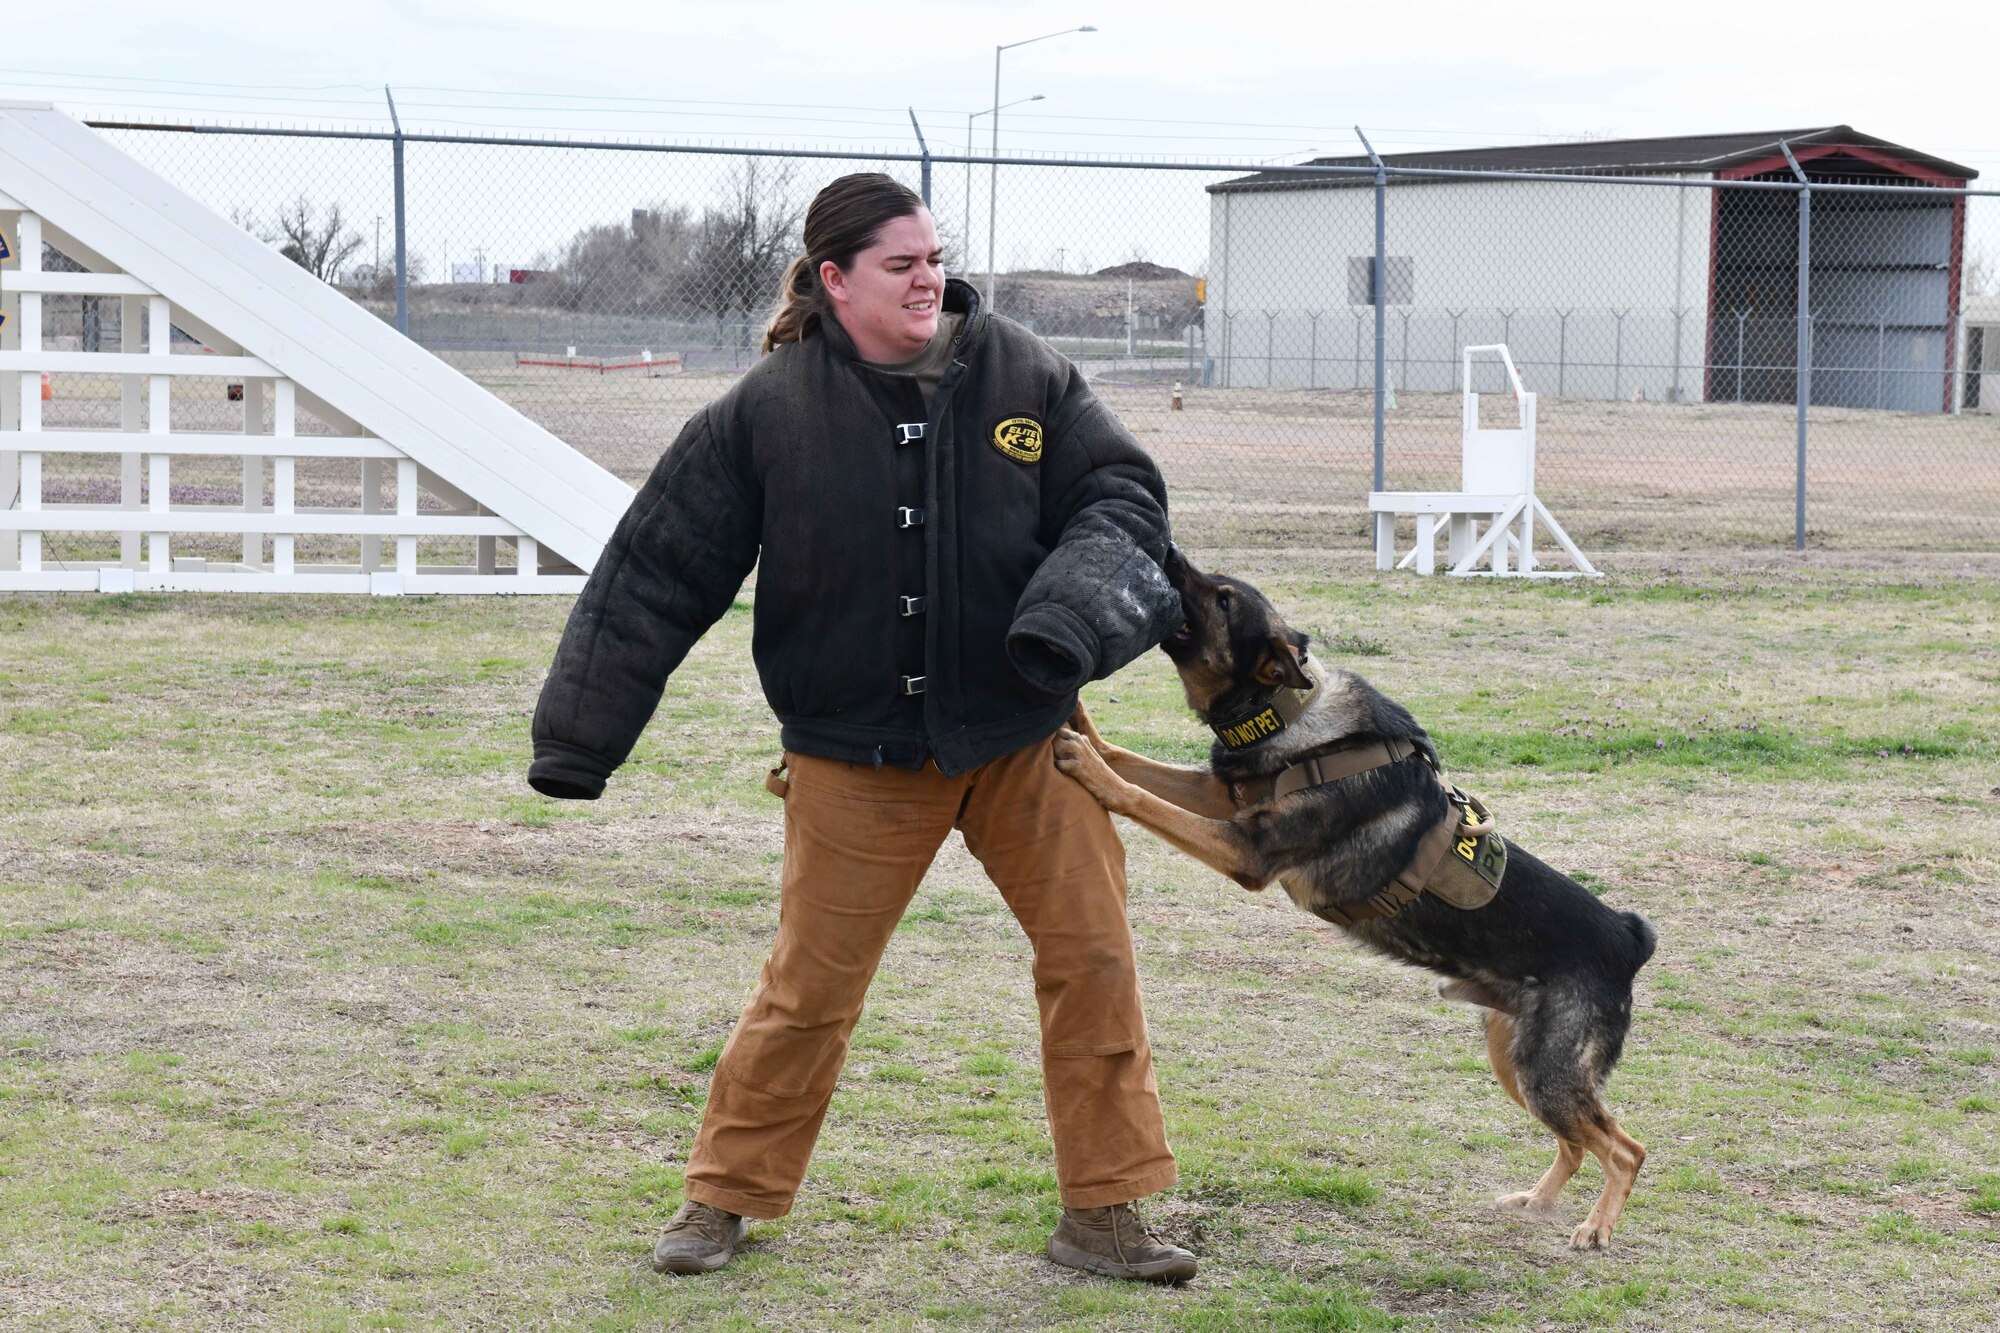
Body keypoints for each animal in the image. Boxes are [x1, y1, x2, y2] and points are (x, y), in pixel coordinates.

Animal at [1048, 548, 1656, 1248]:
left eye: (1223, 599)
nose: (1168, 552)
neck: (1288, 714)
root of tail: (1628, 939)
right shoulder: (1216, 798)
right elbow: (1132, 759)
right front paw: (1082, 723)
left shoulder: (1244, 851)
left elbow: (1138, 793)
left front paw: (1088, 765)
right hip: (1516, 1065)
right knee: (1579, 1143)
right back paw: (1537, 1201)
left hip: (1546, 1073)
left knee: (1626, 1149)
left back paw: (1595, 1229)